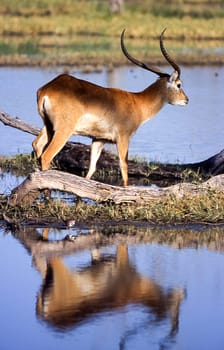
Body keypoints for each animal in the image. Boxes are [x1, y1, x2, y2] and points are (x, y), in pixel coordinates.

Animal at [32, 28, 188, 186]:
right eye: (179, 84)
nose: (186, 100)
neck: (137, 103)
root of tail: (47, 89)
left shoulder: (98, 139)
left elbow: (91, 169)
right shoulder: (123, 138)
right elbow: (124, 168)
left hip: (48, 126)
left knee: (37, 144)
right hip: (63, 131)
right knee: (46, 156)